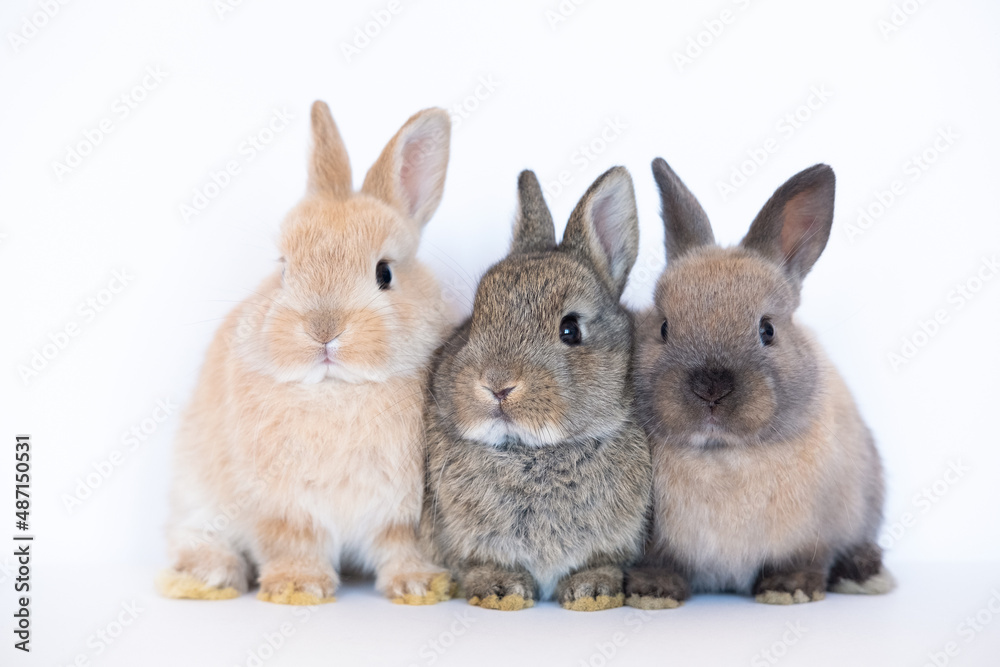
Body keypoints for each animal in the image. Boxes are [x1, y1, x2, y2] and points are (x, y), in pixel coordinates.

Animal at [420, 167, 648, 612]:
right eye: (477, 317)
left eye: (571, 329)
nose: (497, 385)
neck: (531, 451)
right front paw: (500, 592)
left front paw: (592, 593)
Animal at [624, 159, 900, 608]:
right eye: (663, 327)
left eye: (767, 330)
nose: (711, 388)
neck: (721, 454)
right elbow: (660, 564)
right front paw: (652, 592)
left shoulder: (813, 532)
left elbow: (805, 560)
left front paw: (789, 589)